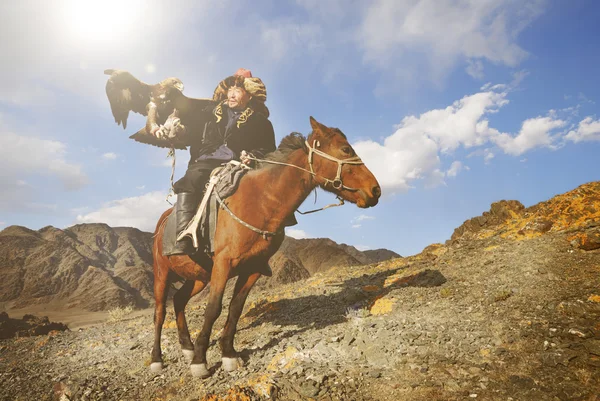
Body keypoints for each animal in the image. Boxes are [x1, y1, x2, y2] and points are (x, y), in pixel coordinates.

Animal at [150, 115, 380, 376]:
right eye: (345, 149)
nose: (375, 190)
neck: (260, 202)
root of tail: (162, 224)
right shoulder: (223, 264)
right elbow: (214, 308)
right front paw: (200, 361)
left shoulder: (253, 268)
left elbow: (235, 308)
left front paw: (228, 354)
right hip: (163, 273)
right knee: (160, 312)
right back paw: (157, 359)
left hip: (198, 275)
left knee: (179, 300)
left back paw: (186, 347)